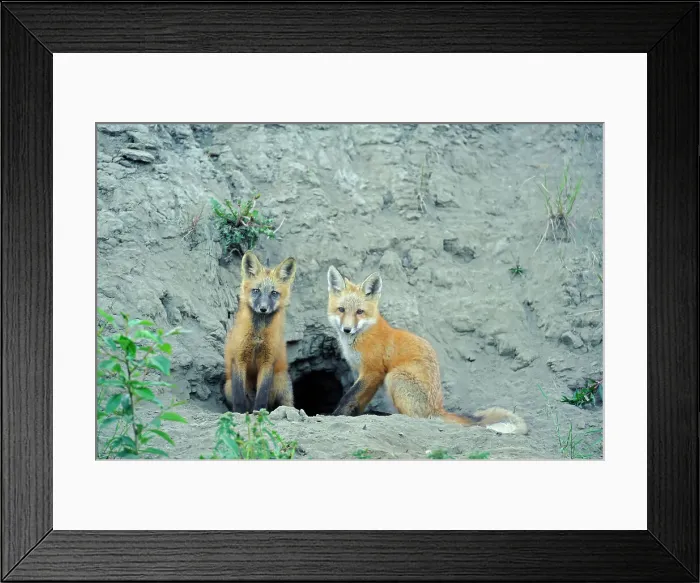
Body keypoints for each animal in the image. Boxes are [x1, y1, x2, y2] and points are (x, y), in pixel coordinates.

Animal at [223, 251, 297, 413]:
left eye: (274, 293)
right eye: (256, 291)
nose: (263, 308)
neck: (258, 336)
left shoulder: (268, 361)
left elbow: (262, 394)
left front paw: (259, 412)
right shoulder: (238, 358)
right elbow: (239, 395)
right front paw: (239, 413)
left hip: (280, 380)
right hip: (227, 387)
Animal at [326, 266, 527, 434]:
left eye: (359, 312)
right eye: (341, 310)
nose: (347, 329)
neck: (363, 334)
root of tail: (437, 408)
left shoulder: (373, 371)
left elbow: (349, 396)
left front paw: (335, 415)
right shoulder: (362, 373)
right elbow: (358, 400)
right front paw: (354, 415)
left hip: (394, 377)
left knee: (414, 418)